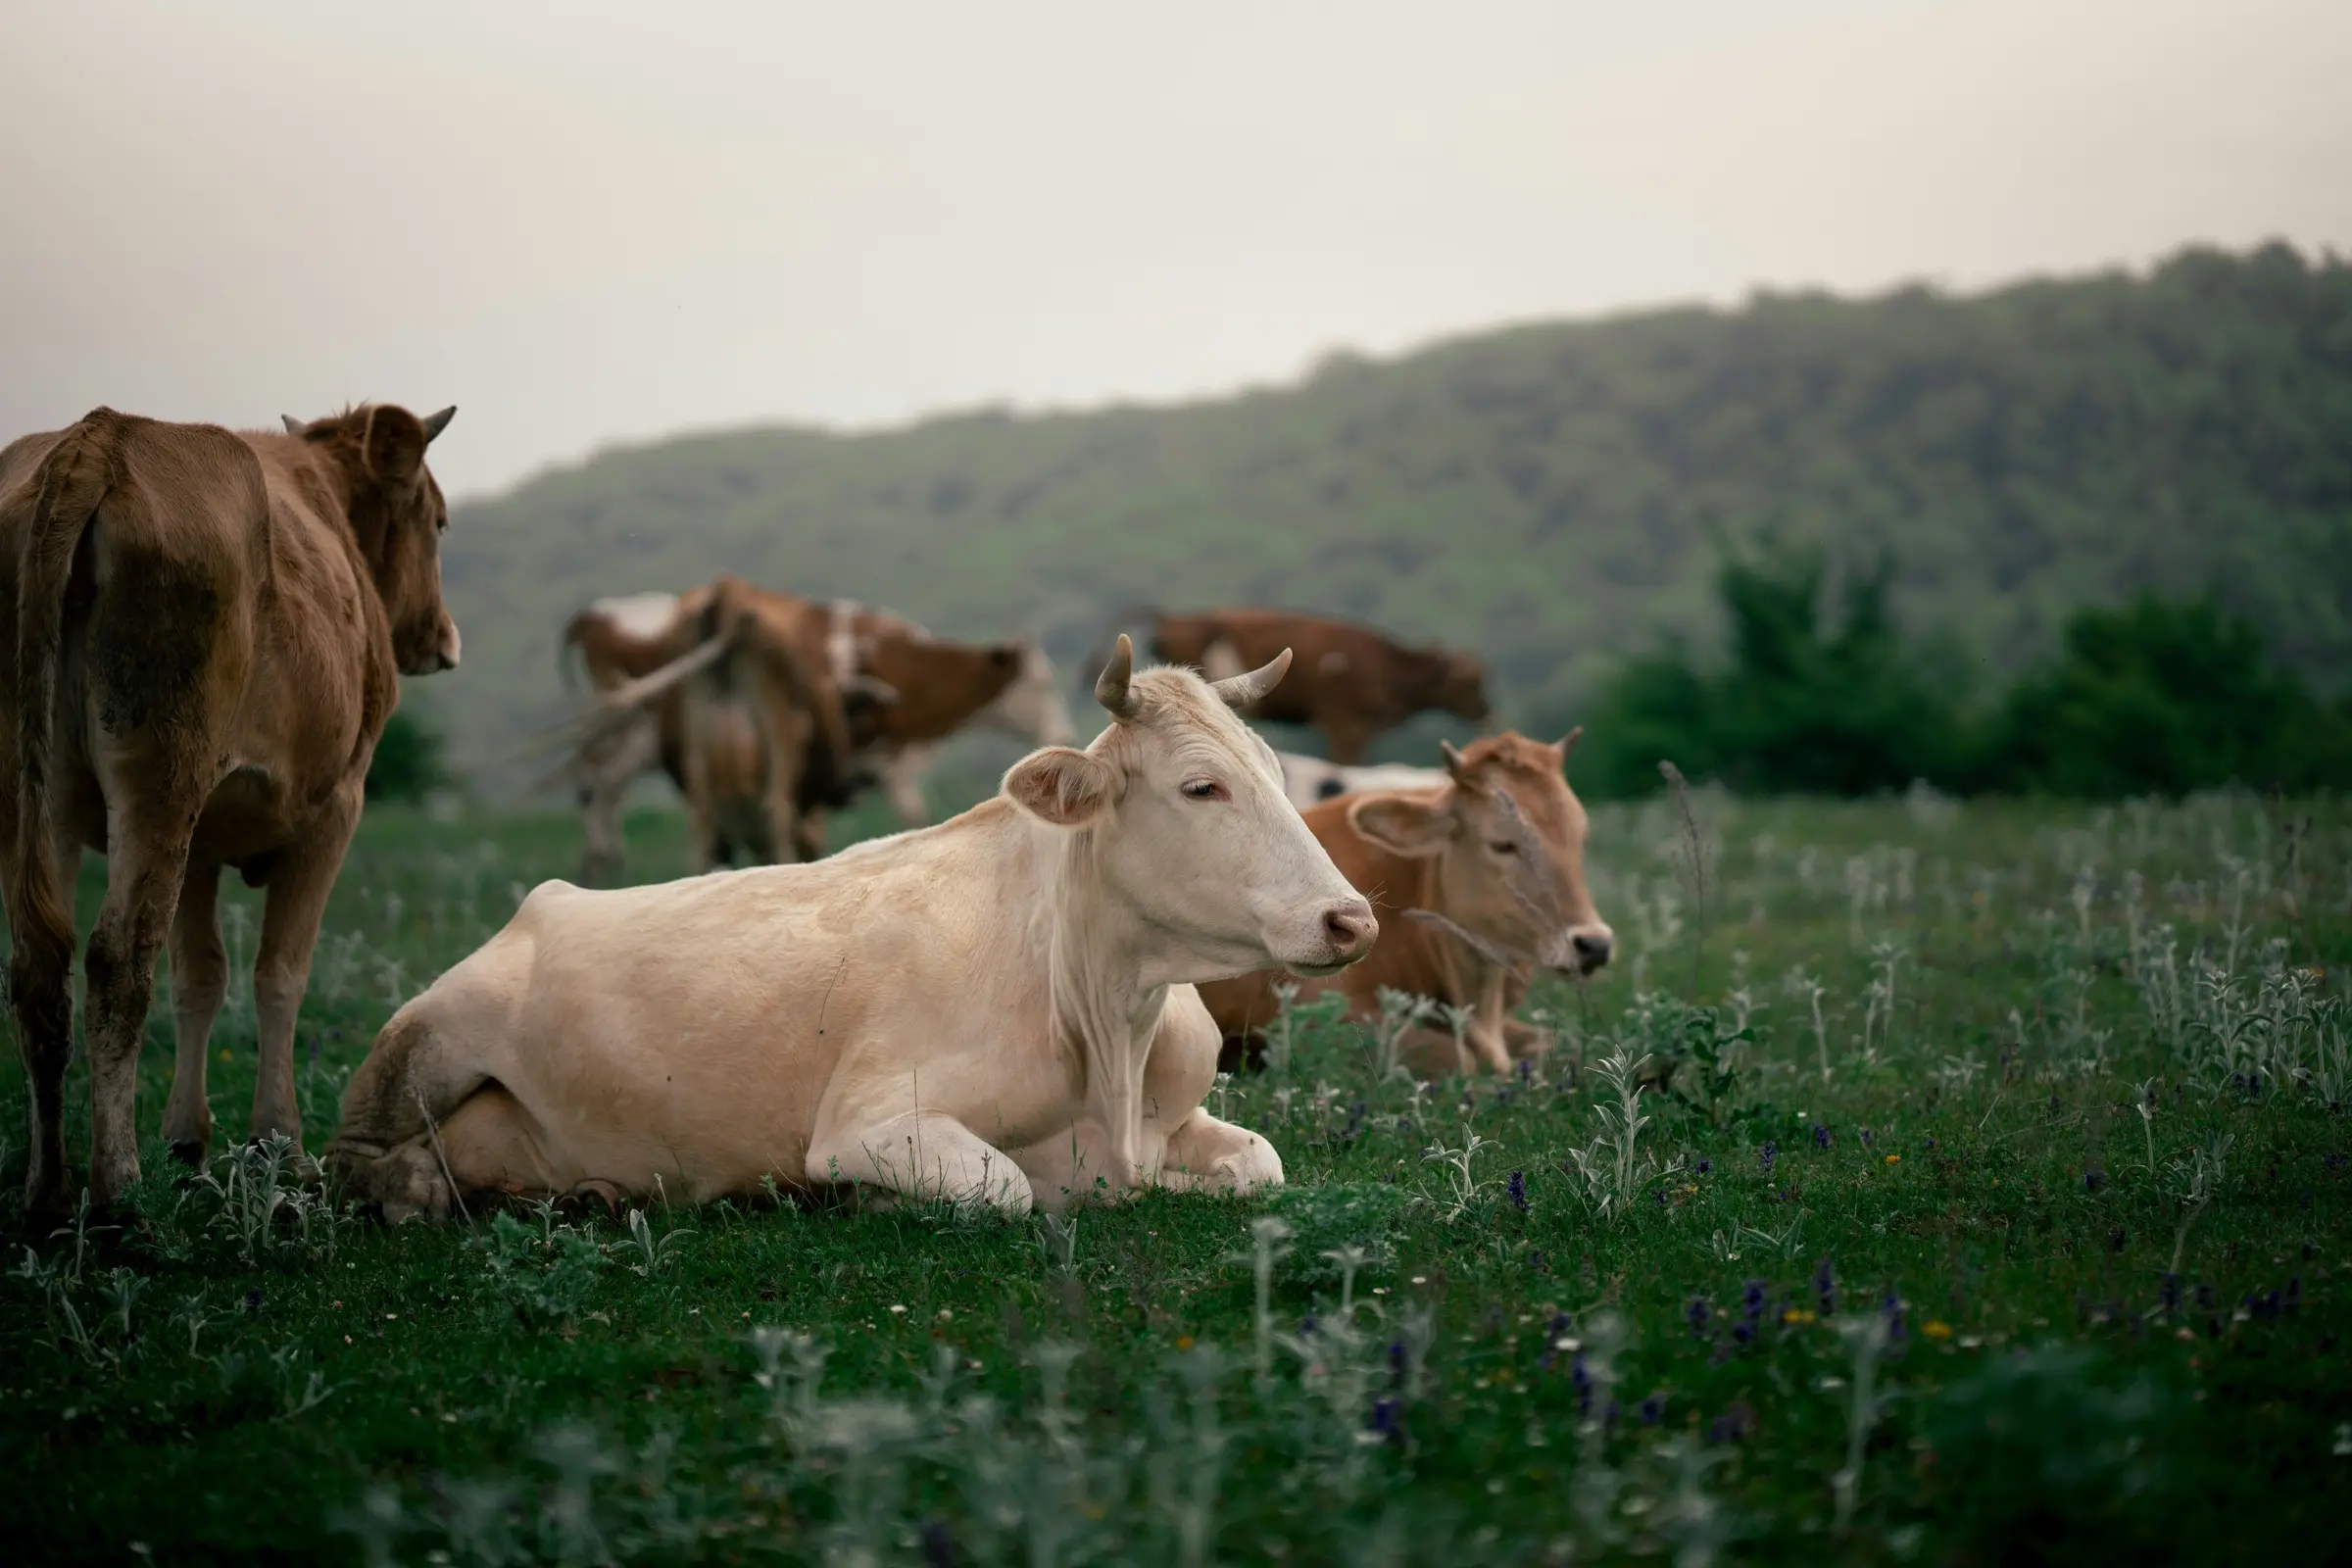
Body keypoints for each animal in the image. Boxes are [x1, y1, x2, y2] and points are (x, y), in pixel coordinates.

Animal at [1, 403, 461, 1217]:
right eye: (437, 520)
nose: (444, 638)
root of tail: (97, 439)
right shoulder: (335, 810)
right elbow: (280, 971)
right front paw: (281, 1144)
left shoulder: (203, 842)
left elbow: (200, 976)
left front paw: (188, 1139)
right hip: (160, 776)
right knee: (117, 962)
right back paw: (118, 1192)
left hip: (37, 794)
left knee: (38, 966)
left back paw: (49, 1191)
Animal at [326, 636, 1379, 1221]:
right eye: (1201, 786)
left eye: (1278, 772)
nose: (1352, 917)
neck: (1108, 1027)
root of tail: (541, 902)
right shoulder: (869, 1121)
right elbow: (1000, 1186)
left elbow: (1262, 1163)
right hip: (423, 1037)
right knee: (356, 1161)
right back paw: (419, 1192)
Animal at [1197, 731, 1612, 1078]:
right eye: (1503, 844)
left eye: (1580, 836)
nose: (1594, 944)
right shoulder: (1318, 1017)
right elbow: (1459, 1058)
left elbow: (1559, 1042)